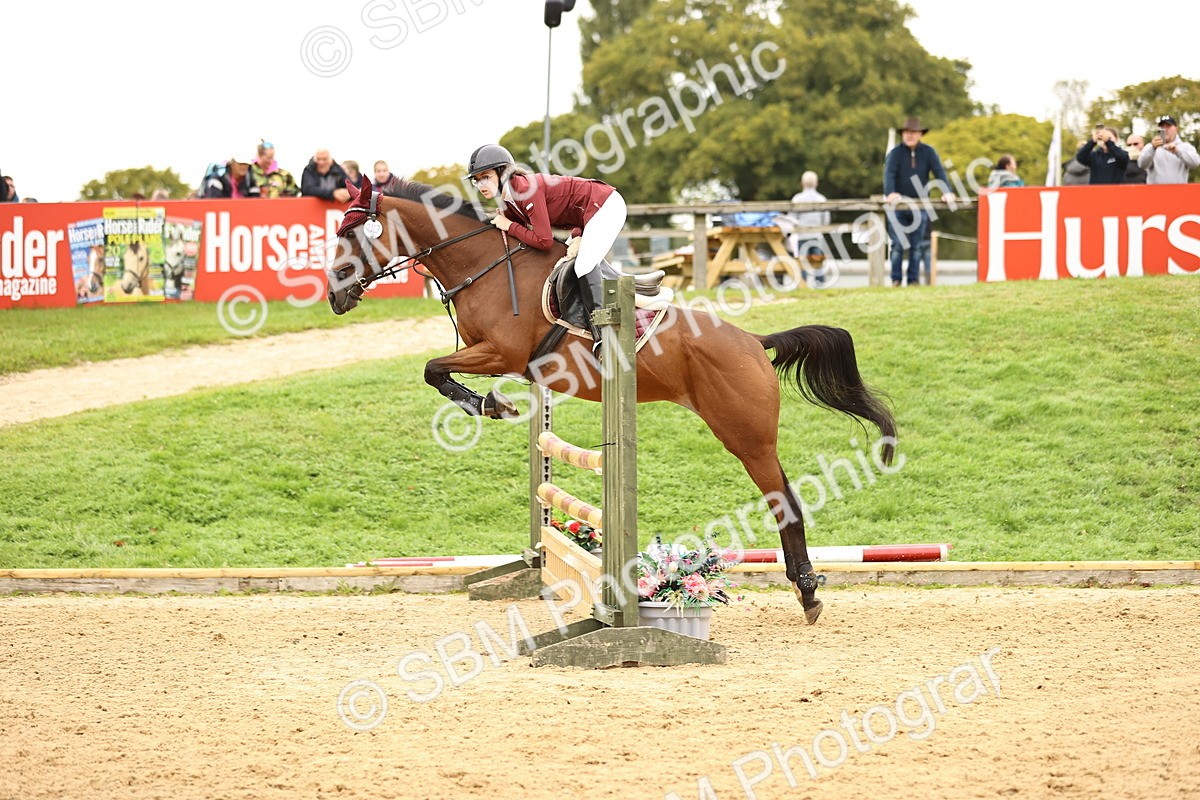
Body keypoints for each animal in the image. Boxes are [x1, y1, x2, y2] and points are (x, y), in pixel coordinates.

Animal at [326, 175, 896, 623]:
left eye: (351, 233)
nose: (334, 295)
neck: (481, 263)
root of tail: (754, 342)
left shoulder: (502, 353)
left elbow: (433, 369)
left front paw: (491, 405)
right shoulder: (495, 357)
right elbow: (435, 370)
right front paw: (494, 404)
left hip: (746, 436)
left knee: (785, 500)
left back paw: (808, 593)